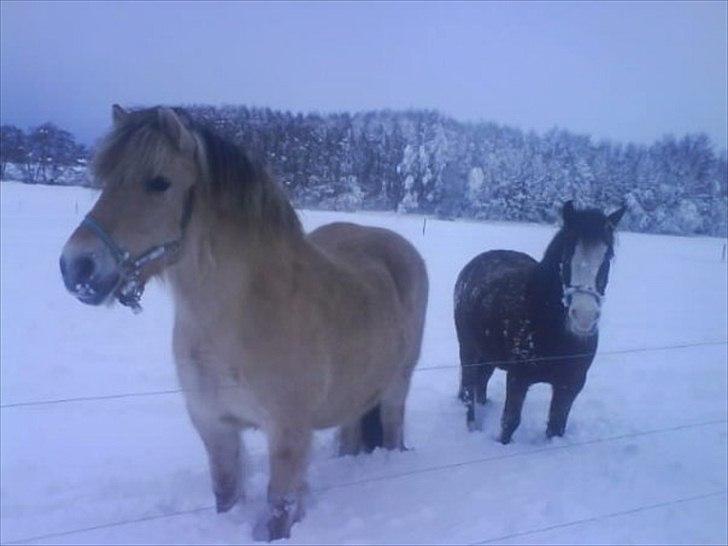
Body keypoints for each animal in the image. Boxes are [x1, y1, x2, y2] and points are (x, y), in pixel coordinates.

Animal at [59, 105, 429, 541]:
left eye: (159, 182)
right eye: (104, 180)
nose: (76, 267)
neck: (240, 316)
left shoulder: (287, 434)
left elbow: (279, 509)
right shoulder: (213, 426)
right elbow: (226, 492)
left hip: (397, 385)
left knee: (391, 427)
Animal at [454, 201, 625, 444]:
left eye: (607, 257)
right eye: (566, 255)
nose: (584, 317)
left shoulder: (570, 384)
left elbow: (556, 427)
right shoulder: (518, 379)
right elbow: (510, 422)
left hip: (488, 355)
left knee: (481, 383)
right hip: (468, 350)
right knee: (469, 390)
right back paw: (472, 427)